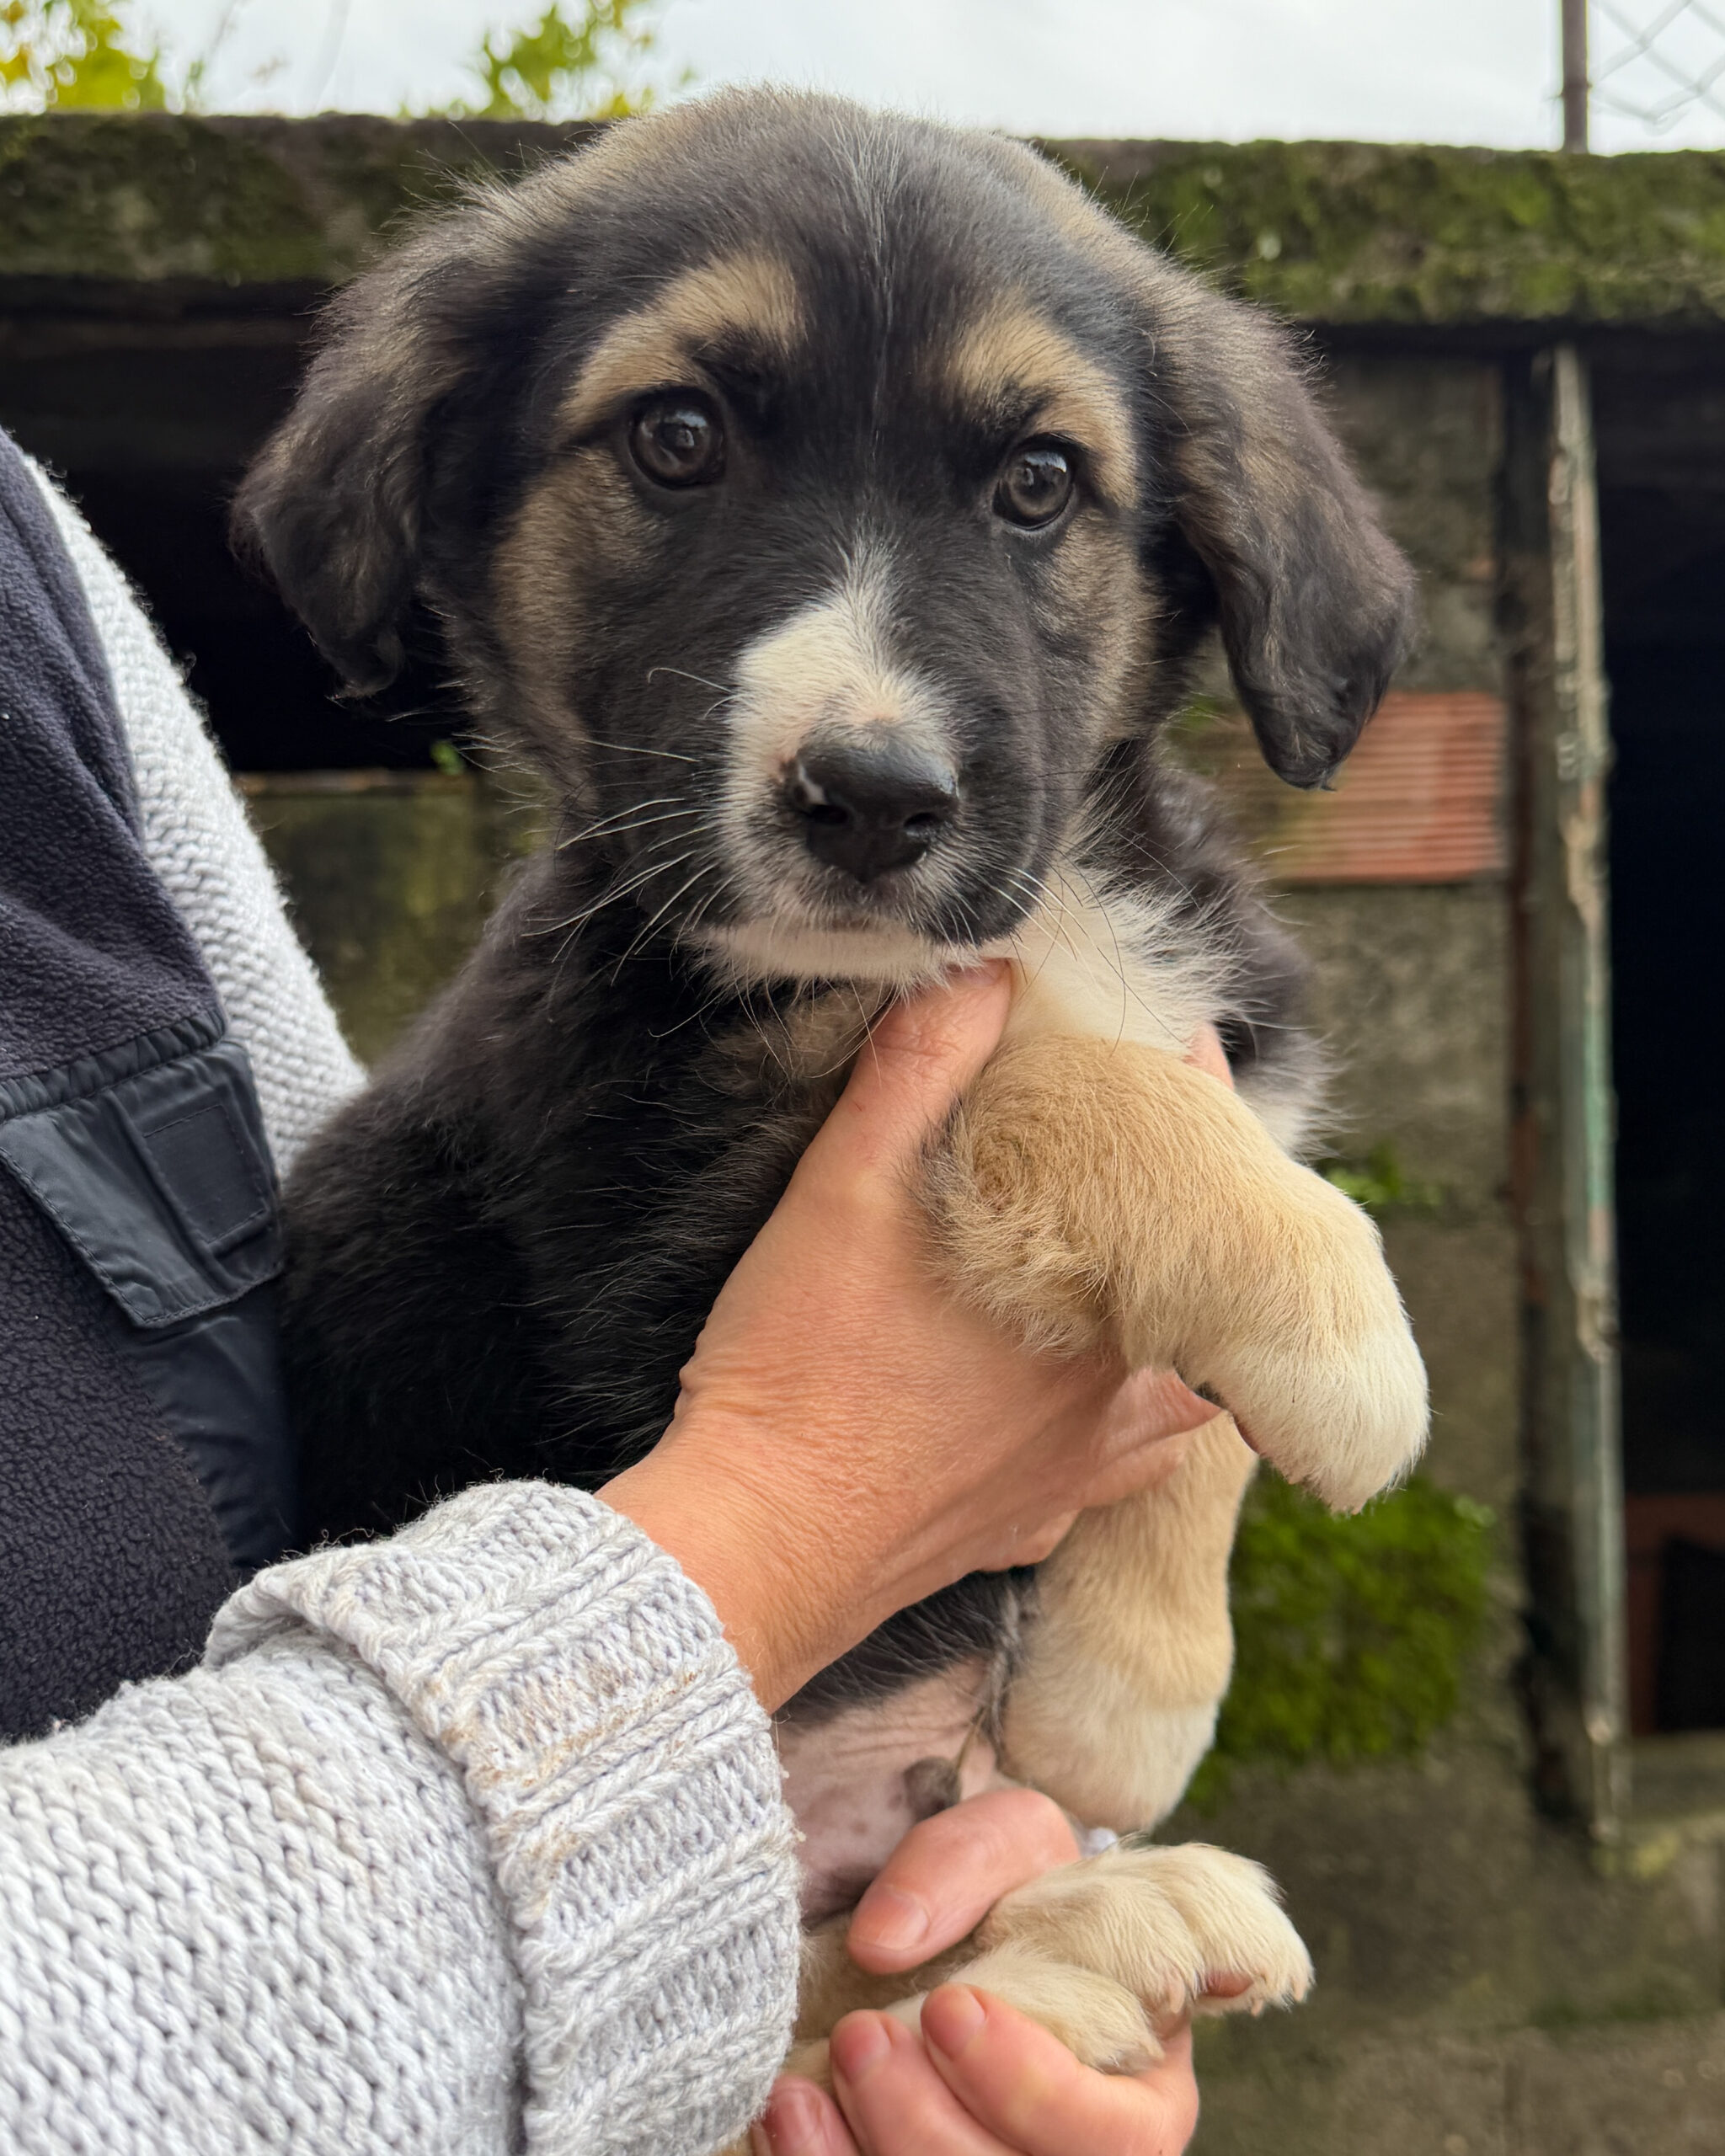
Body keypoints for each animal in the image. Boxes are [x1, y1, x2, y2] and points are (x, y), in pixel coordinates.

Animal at [238, 89, 1427, 2087]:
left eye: (1038, 483)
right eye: (678, 438)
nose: (871, 797)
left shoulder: (1233, 1050)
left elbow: (1186, 1409)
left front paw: (1121, 1705)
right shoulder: (671, 1215)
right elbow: (1051, 1075)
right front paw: (1343, 1336)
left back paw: (1100, 1918)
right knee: (751, 2027)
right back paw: (1085, 1943)